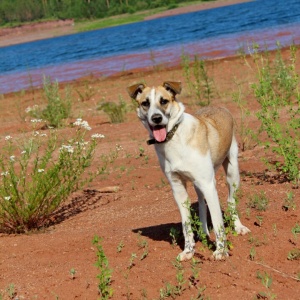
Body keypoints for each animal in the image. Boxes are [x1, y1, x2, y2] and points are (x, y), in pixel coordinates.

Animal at [127, 80, 251, 260]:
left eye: (164, 101)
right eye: (145, 103)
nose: (156, 118)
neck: (174, 138)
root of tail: (219, 107)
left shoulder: (208, 184)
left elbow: (218, 222)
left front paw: (221, 251)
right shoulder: (178, 188)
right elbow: (186, 225)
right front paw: (188, 251)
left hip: (232, 173)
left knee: (230, 200)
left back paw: (238, 227)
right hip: (200, 183)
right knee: (201, 204)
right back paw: (204, 233)